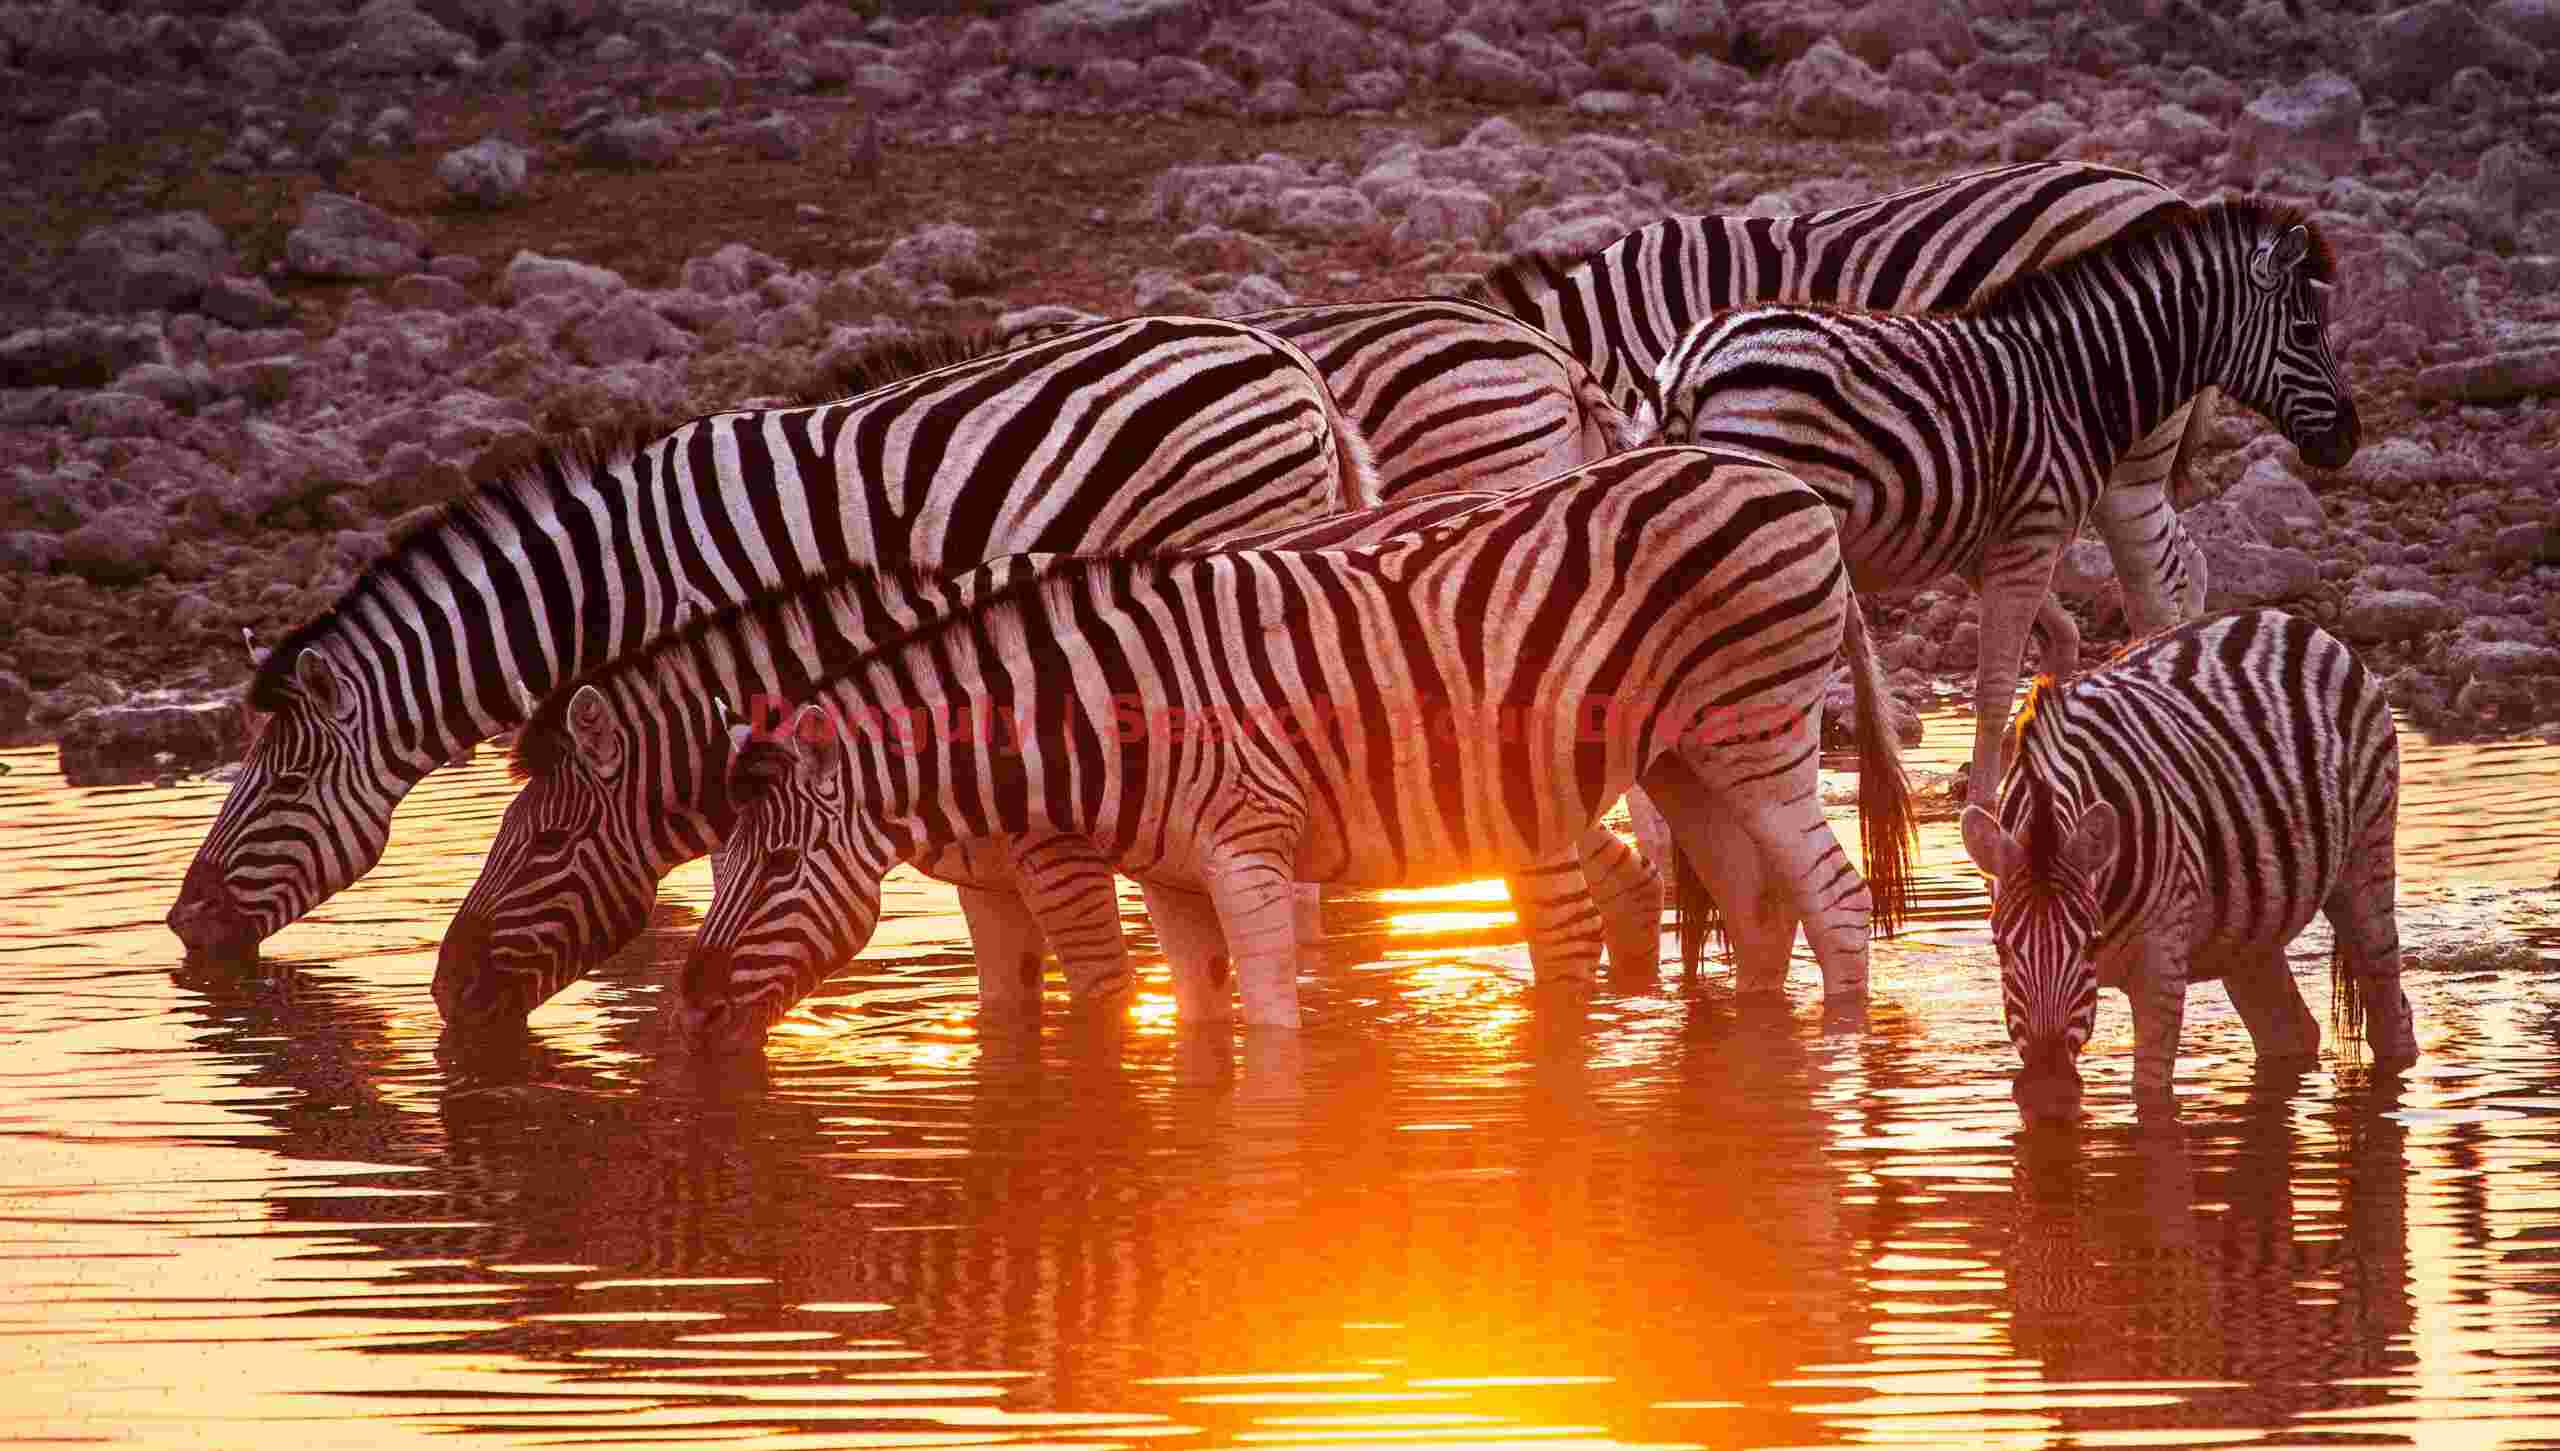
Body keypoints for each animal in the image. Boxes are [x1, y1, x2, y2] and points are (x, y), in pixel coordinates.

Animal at [448, 298, 1682, 1027]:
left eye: (544, 838)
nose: (446, 990)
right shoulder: (984, 880)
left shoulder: (1064, 860)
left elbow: (1104, 1009)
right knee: (1618, 875)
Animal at [665, 446, 1917, 1051]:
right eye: (717, 865)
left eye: (780, 867)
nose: (689, 1005)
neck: (1101, 709)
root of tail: (1787, 483)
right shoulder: (1170, 878)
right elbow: (1198, 1016)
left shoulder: (1247, 851)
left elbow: (1269, 1023)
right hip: (1684, 759)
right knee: (1761, 910)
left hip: (1754, 731)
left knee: (1834, 902)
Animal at [1649, 197, 2357, 821]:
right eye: (2304, 333)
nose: (2349, 441)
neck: (2075, 381)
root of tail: (1691, 369)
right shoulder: (2033, 535)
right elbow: (1994, 686)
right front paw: (1985, 810)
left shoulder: (1984, 546)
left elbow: (2060, 643)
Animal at [1959, 609, 2418, 1121]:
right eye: (2000, 948)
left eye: (2090, 943)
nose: (2048, 1093)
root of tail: (2283, 617)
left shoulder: (2162, 963)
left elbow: (2151, 1095)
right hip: (2250, 922)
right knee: (2290, 1030)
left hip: (2367, 850)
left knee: (2389, 1008)